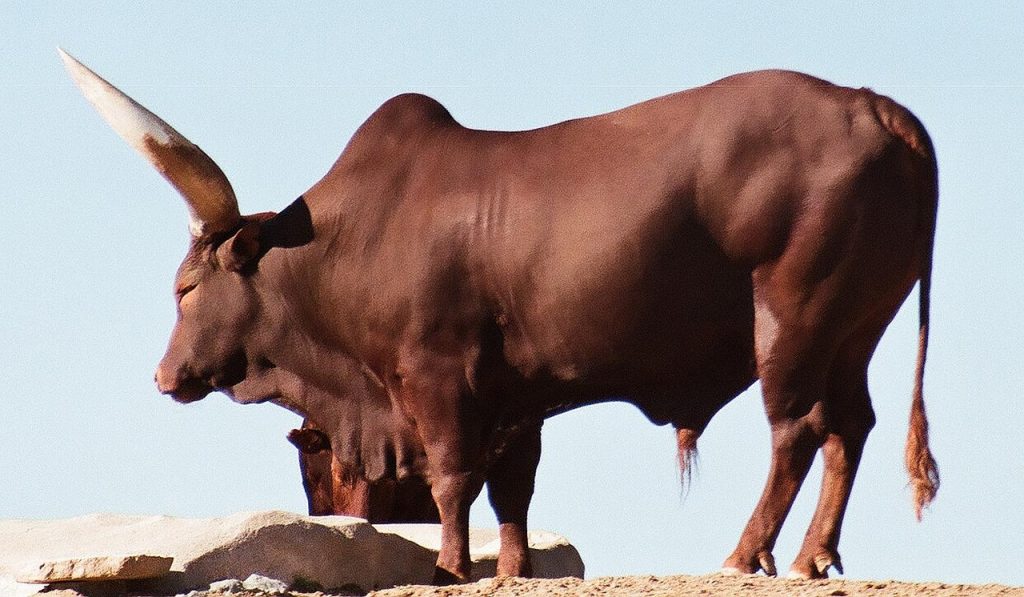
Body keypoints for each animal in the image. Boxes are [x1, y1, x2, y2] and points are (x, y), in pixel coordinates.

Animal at [61, 49, 938, 583]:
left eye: (184, 287)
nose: (165, 375)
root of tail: (874, 107)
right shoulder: (520, 393)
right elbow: (513, 486)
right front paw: (511, 565)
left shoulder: (437, 374)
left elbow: (454, 476)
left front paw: (451, 565)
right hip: (852, 329)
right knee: (849, 427)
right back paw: (814, 555)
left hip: (792, 318)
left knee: (796, 430)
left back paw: (747, 551)